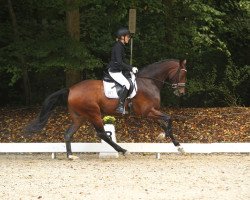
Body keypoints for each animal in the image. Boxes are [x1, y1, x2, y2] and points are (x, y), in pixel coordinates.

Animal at [25, 58, 186, 159]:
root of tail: (71, 89)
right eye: (183, 74)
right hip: (94, 113)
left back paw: (71, 156)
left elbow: (165, 123)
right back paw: (123, 151)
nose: (182, 92)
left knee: (68, 134)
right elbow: (169, 119)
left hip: (80, 117)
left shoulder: (151, 112)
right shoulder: (147, 112)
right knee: (102, 133)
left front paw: (178, 146)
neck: (149, 82)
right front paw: (164, 136)